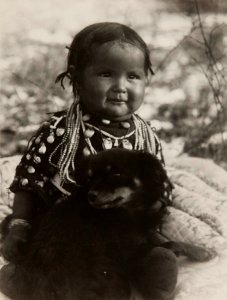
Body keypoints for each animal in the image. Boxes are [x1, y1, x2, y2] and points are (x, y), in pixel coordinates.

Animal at [0, 149, 213, 300]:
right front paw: (202, 251)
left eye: (116, 174)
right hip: (113, 278)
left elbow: (160, 236)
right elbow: (171, 243)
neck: (126, 210)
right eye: (90, 177)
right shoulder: (131, 251)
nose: (91, 196)